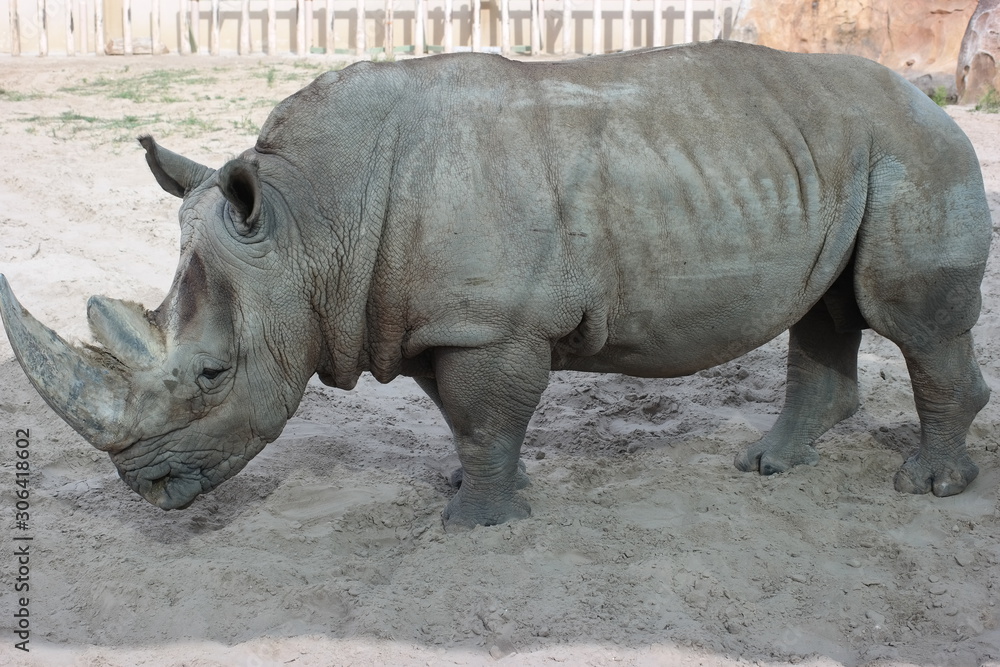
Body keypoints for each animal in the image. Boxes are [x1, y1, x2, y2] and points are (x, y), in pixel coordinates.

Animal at [0, 42, 992, 528]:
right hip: (842, 149)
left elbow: (485, 415)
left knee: (910, 319)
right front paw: (473, 490)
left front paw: (472, 524)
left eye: (211, 376)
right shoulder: (431, 315)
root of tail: (931, 97)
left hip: (914, 149)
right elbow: (464, 419)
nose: (145, 489)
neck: (309, 220)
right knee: (827, 306)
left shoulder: (494, 323)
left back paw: (928, 487)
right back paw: (768, 465)